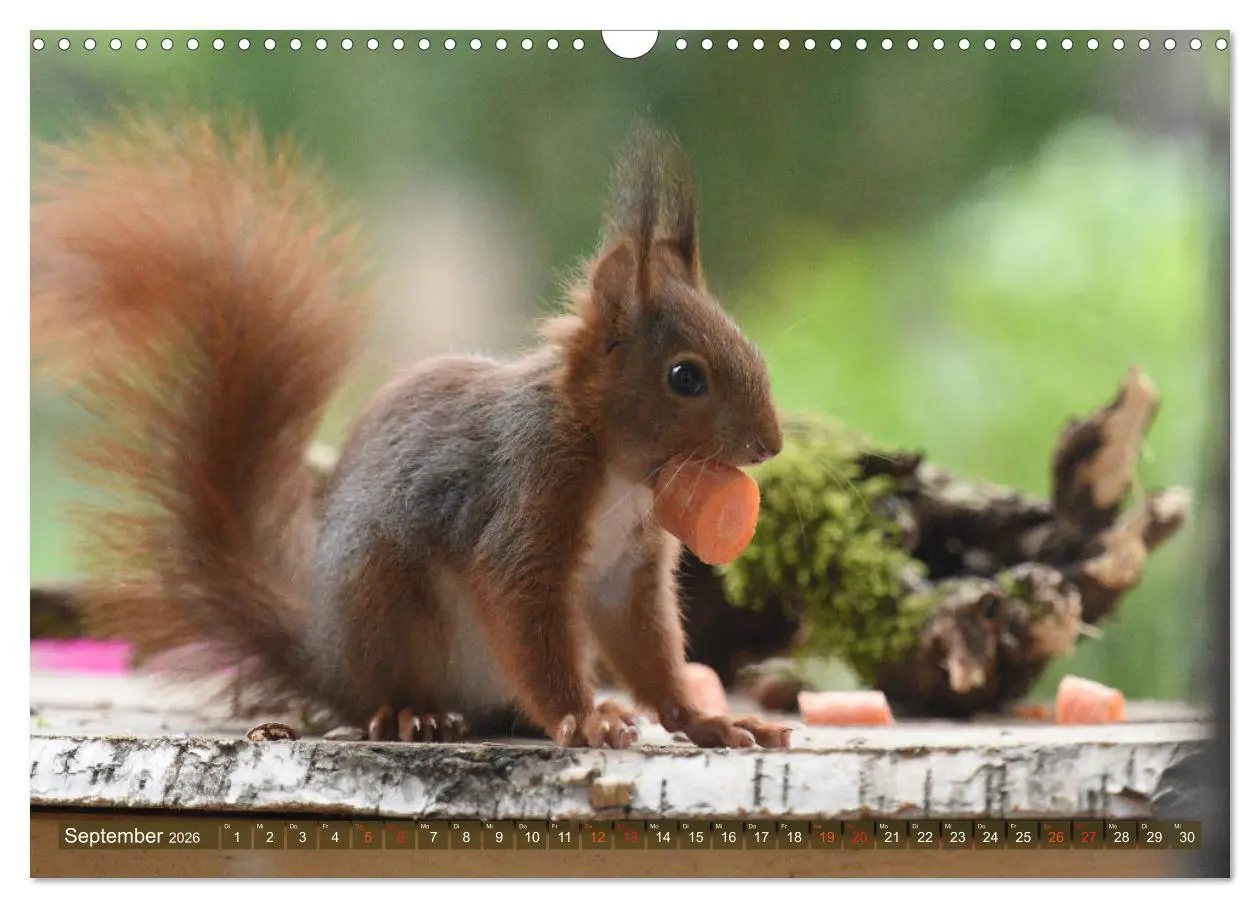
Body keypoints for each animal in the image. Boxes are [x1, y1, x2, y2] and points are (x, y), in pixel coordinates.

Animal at [31, 113, 791, 750]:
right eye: (685, 377)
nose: (770, 445)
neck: (616, 467)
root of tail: (323, 657)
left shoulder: (628, 571)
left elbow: (649, 648)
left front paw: (709, 722)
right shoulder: (526, 497)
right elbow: (528, 615)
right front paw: (585, 718)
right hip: (383, 600)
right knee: (388, 691)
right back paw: (411, 713)